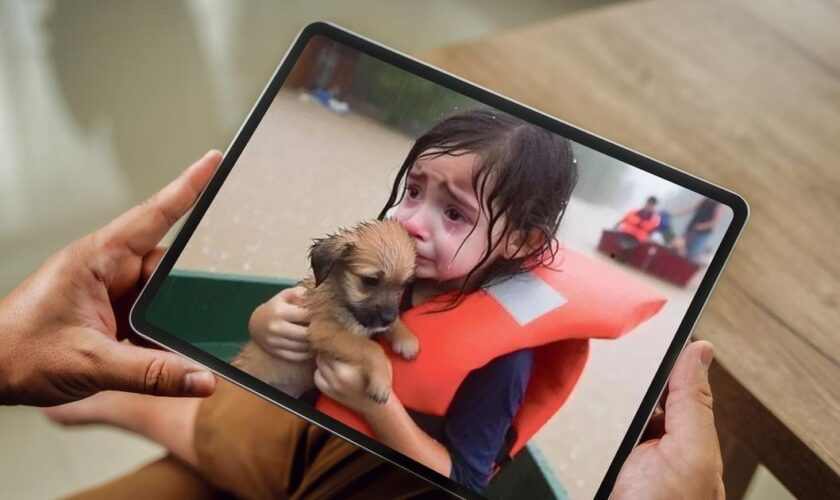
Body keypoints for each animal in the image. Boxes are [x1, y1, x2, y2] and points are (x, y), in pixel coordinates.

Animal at [235, 219, 418, 402]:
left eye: (403, 285)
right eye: (370, 281)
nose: (388, 318)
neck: (340, 295)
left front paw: (406, 339)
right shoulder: (324, 330)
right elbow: (369, 347)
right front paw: (382, 380)